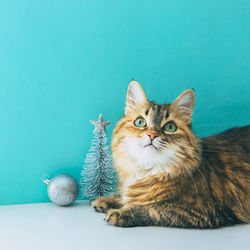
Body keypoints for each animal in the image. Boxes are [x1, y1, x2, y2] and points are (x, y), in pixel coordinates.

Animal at [92, 80, 250, 229]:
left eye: (170, 127)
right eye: (140, 122)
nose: (152, 134)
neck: (146, 169)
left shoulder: (202, 210)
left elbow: (151, 208)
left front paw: (120, 213)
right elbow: (123, 197)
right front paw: (106, 200)